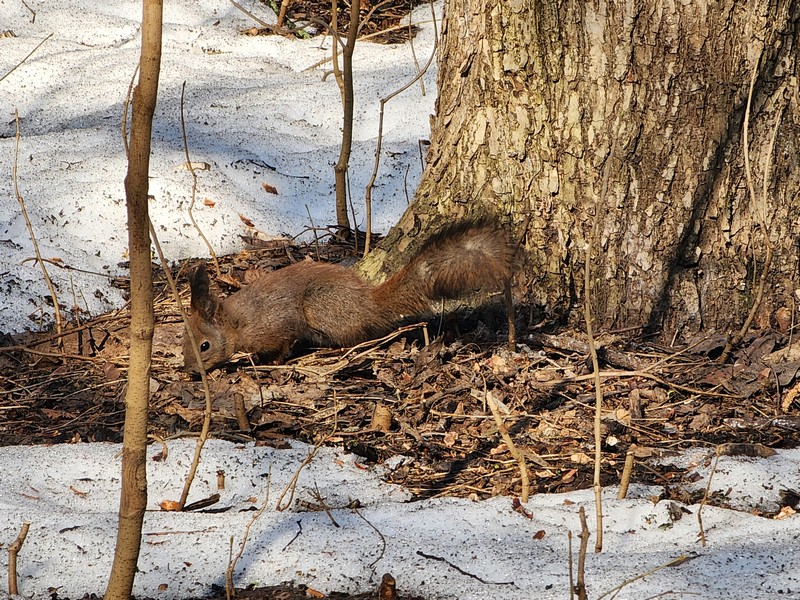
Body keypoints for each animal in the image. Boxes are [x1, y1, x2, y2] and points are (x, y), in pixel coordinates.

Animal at [183, 220, 514, 373]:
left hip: (320, 307)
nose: (188, 370)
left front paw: (272, 360)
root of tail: (370, 304)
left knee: (358, 335)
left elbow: (285, 343)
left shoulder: (277, 324)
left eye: (205, 345)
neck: (236, 322)